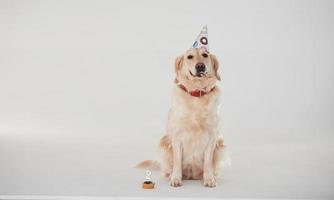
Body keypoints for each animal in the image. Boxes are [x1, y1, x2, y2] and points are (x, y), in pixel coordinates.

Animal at [137, 47, 226, 188]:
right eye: (189, 57)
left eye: (205, 55)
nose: (200, 66)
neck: (197, 93)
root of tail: (191, 176)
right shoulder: (177, 136)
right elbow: (177, 161)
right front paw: (175, 179)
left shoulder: (212, 136)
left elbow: (208, 162)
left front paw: (209, 179)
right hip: (164, 143)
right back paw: (170, 176)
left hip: (221, 146)